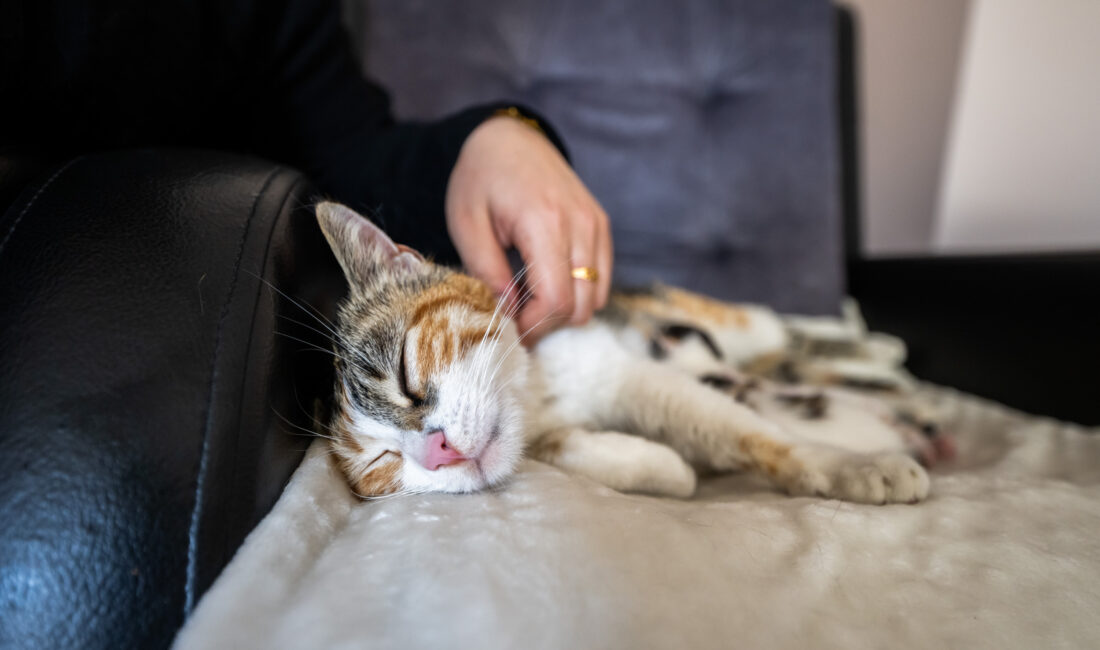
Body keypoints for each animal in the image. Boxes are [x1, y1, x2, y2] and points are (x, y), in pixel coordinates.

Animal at [314, 201, 932, 505]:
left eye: (404, 373)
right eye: (382, 464)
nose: (437, 451)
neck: (537, 393)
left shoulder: (629, 372)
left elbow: (742, 431)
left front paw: (849, 466)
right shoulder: (551, 437)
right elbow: (598, 454)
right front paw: (666, 467)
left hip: (719, 319)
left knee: (775, 327)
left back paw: (875, 343)